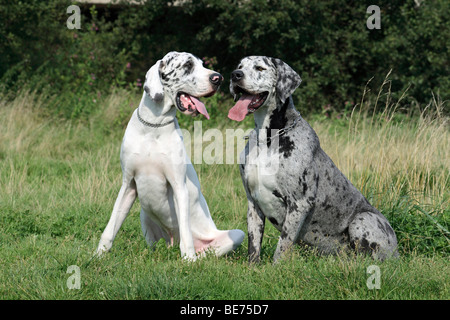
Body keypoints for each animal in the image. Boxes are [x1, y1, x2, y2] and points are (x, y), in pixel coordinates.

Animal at [97, 50, 244, 260]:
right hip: (144, 213)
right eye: (188, 65)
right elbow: (110, 227)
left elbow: (186, 233)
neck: (153, 127)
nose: (219, 78)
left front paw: (189, 260)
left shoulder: (178, 186)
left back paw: (196, 257)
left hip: (235, 235)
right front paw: (98, 255)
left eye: (202, 64)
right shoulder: (128, 184)